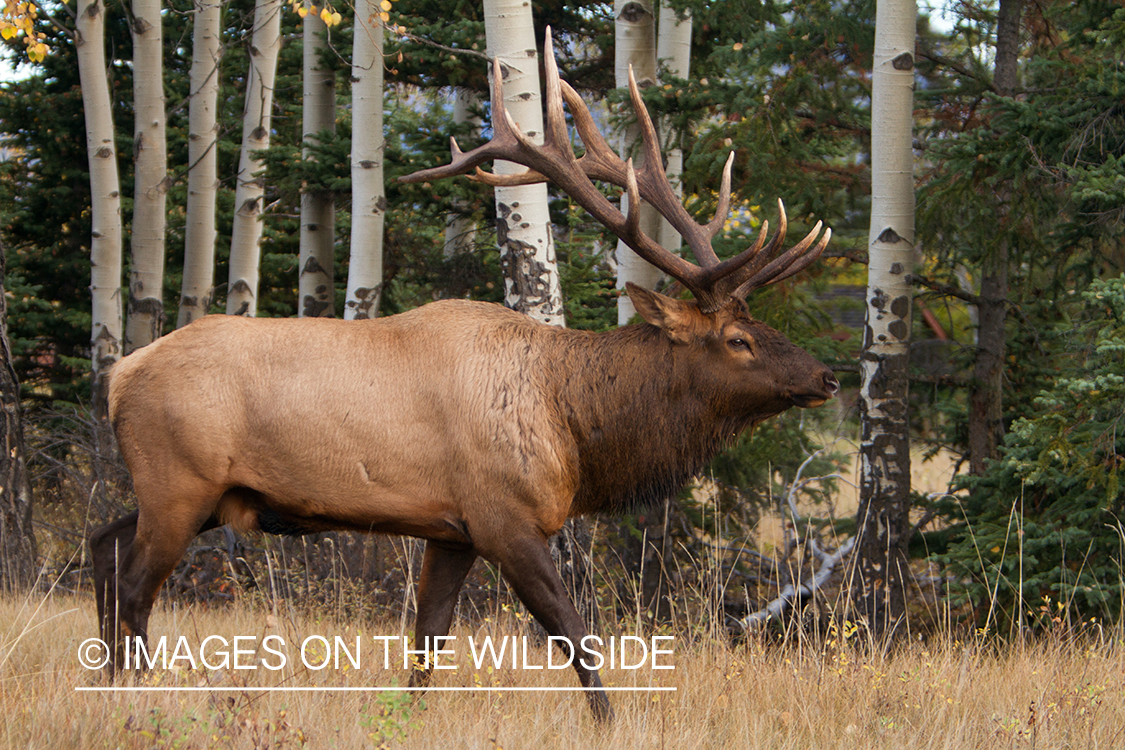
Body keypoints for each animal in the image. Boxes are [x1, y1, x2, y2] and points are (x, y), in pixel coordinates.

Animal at [90, 29, 837, 719]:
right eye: (739, 339)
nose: (827, 377)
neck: (576, 428)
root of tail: (121, 375)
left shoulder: (451, 531)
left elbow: (428, 642)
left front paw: (410, 715)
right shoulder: (504, 516)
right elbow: (572, 632)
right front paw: (611, 718)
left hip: (200, 492)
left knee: (104, 542)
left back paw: (110, 678)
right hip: (180, 480)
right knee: (134, 582)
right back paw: (138, 689)